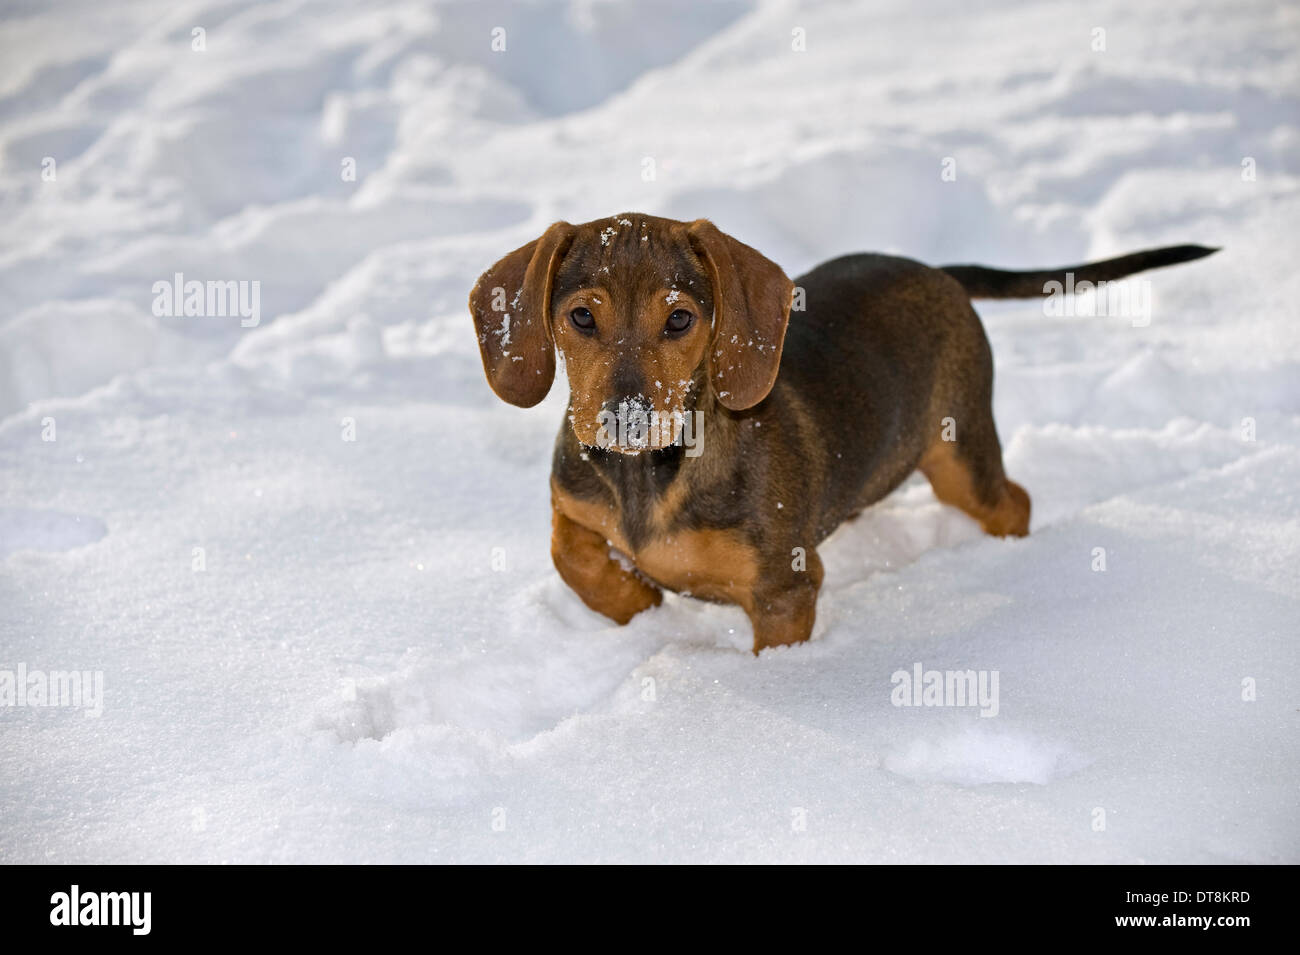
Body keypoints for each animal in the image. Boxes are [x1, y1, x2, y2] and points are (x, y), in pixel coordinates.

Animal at [470, 214, 1216, 649]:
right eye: (581, 317)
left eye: (679, 319)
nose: (626, 417)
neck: (651, 473)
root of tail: (938, 271)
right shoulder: (572, 502)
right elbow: (571, 553)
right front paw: (632, 596)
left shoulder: (785, 591)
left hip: (959, 453)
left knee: (1014, 500)